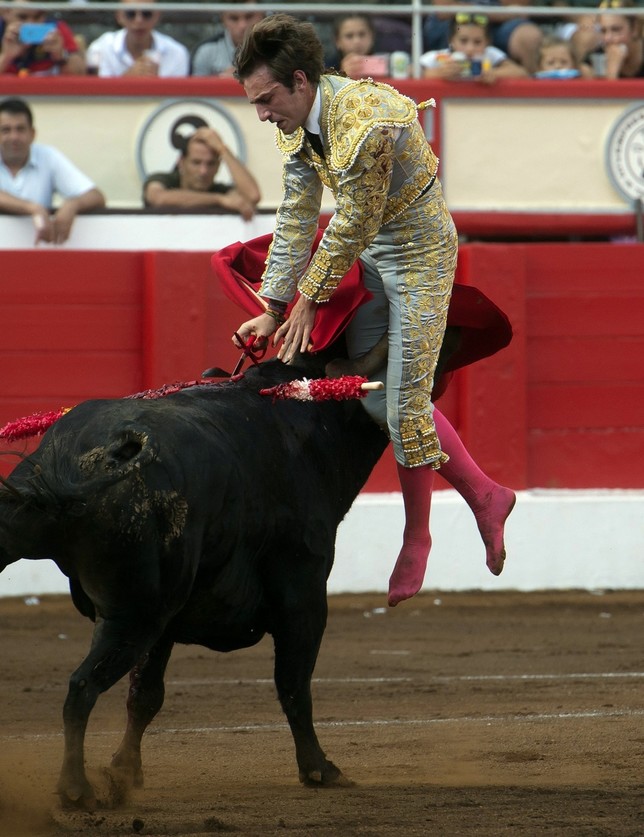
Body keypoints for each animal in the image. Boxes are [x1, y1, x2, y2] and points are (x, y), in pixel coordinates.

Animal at [0, 350, 390, 808]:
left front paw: (125, 772)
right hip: (134, 615)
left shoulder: (166, 623)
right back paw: (76, 789)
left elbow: (145, 695)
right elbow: (294, 684)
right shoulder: (304, 595)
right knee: (82, 687)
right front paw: (319, 770)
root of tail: (80, 465)